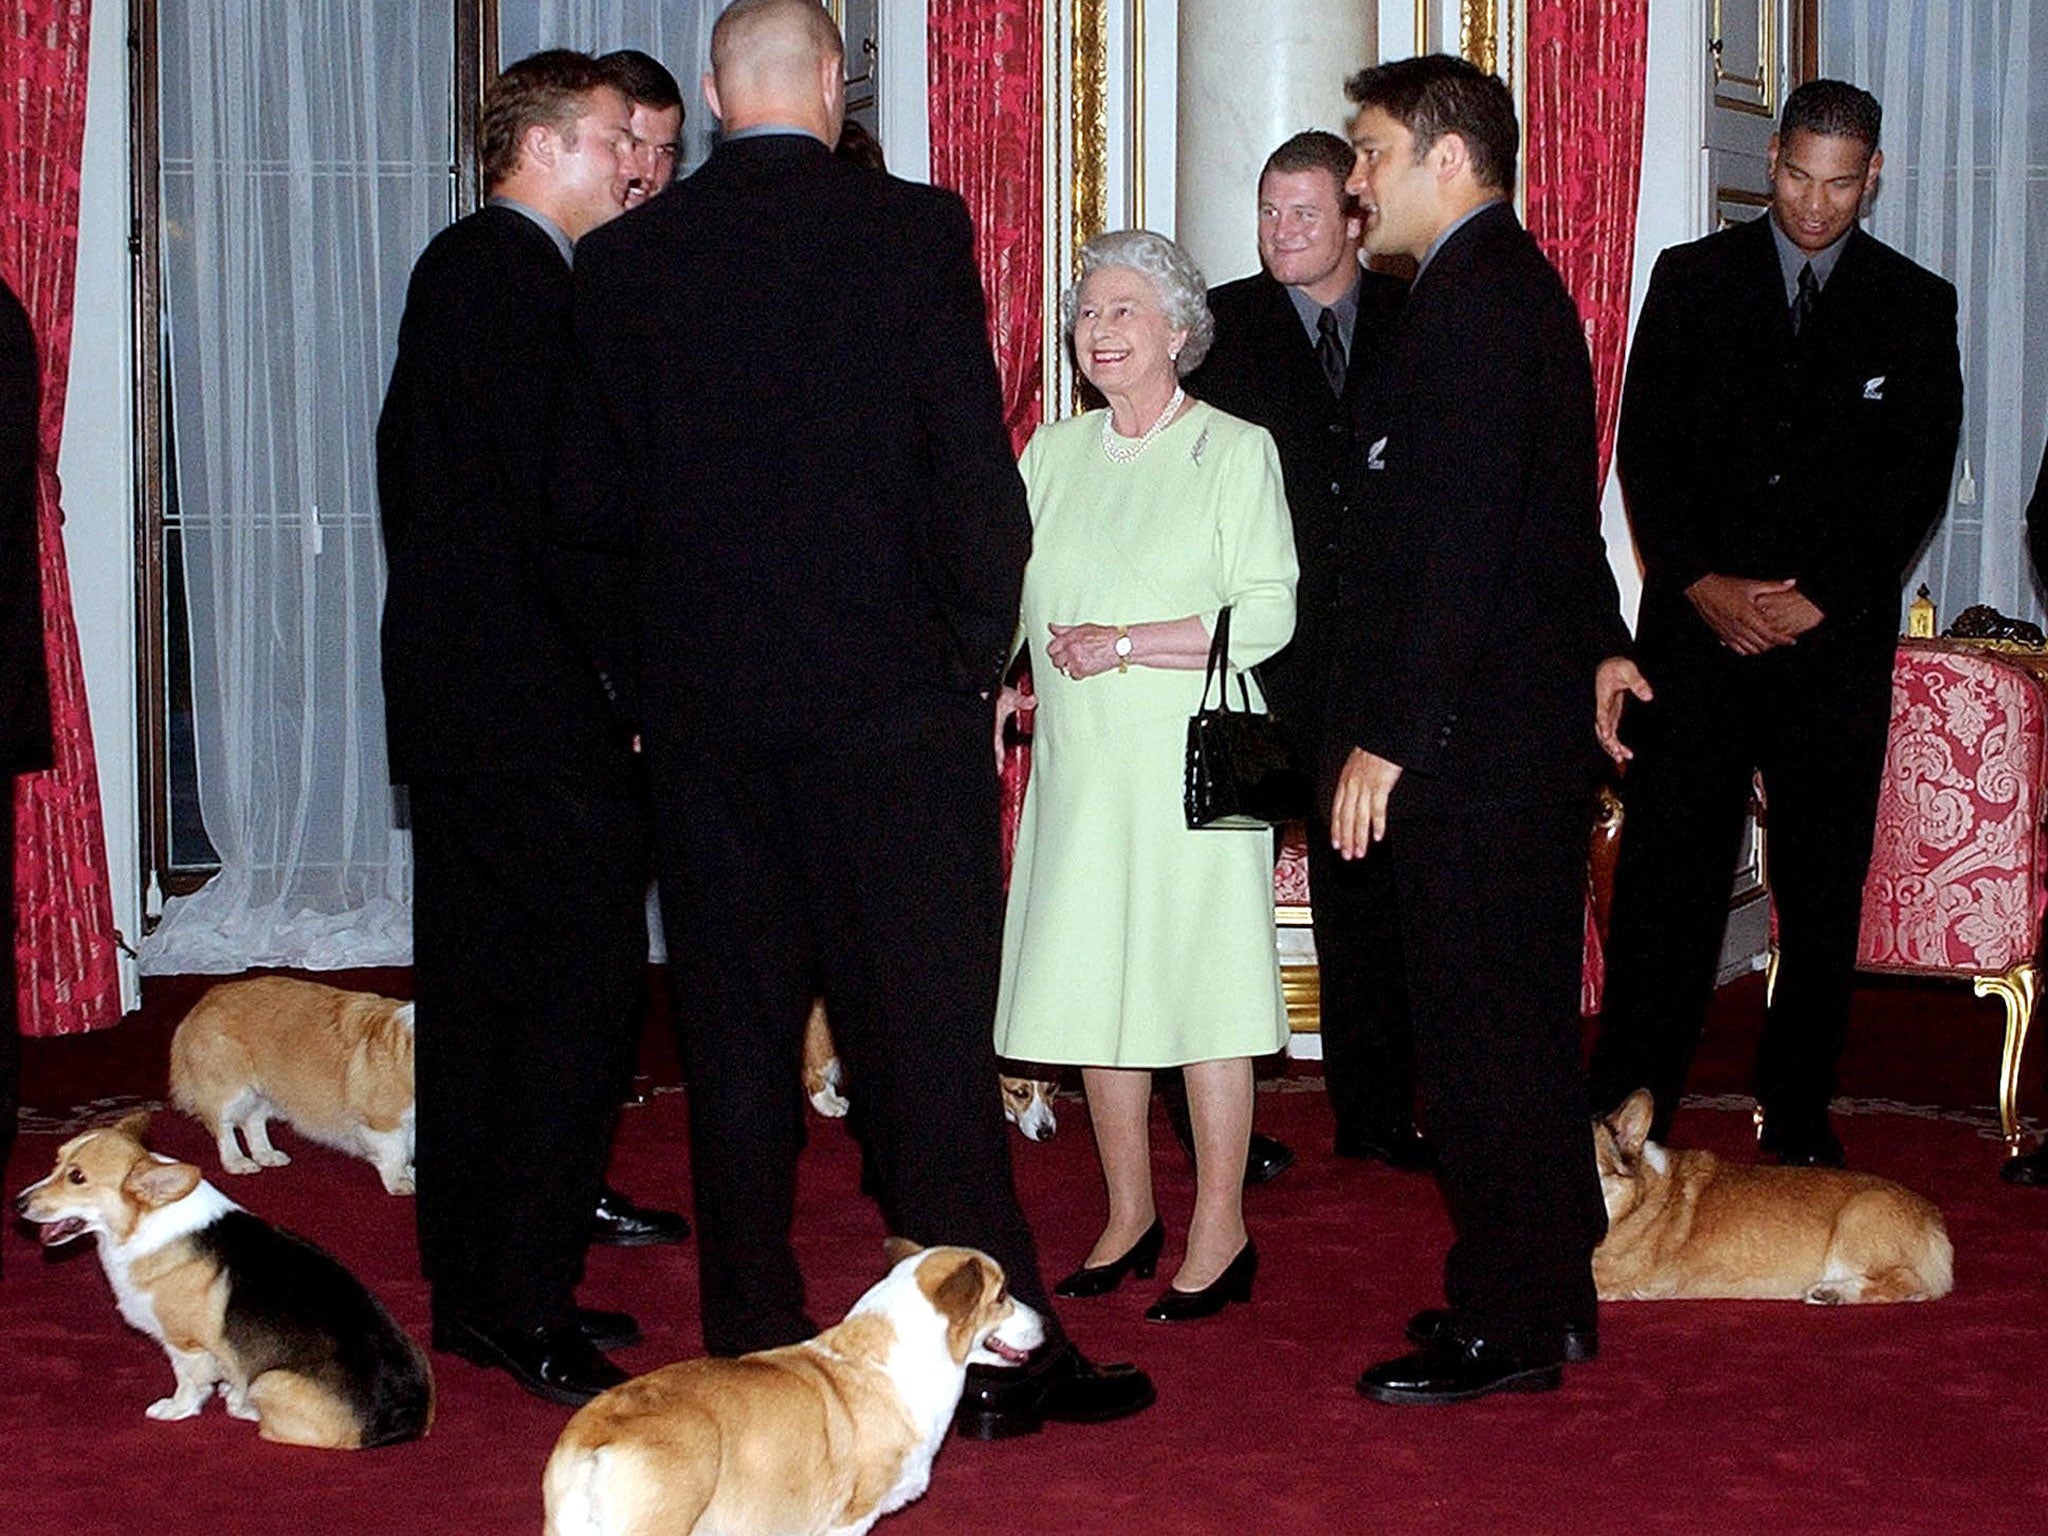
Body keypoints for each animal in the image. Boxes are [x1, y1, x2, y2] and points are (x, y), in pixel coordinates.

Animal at [14, 1122, 436, 1458]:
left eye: (77, 1177)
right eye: (56, 1163)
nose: (17, 1203)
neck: (144, 1224)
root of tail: (402, 1422)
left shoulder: (185, 1345)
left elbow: (189, 1384)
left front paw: (175, 1409)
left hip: (269, 1379)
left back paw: (242, 1405)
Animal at [174, 978, 417, 1196]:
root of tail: (206, 1000)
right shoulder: (384, 1120)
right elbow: (396, 1153)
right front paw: (401, 1182)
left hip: (264, 1092)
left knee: (253, 1121)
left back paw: (267, 1155)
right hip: (231, 1089)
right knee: (223, 1126)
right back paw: (237, 1161)